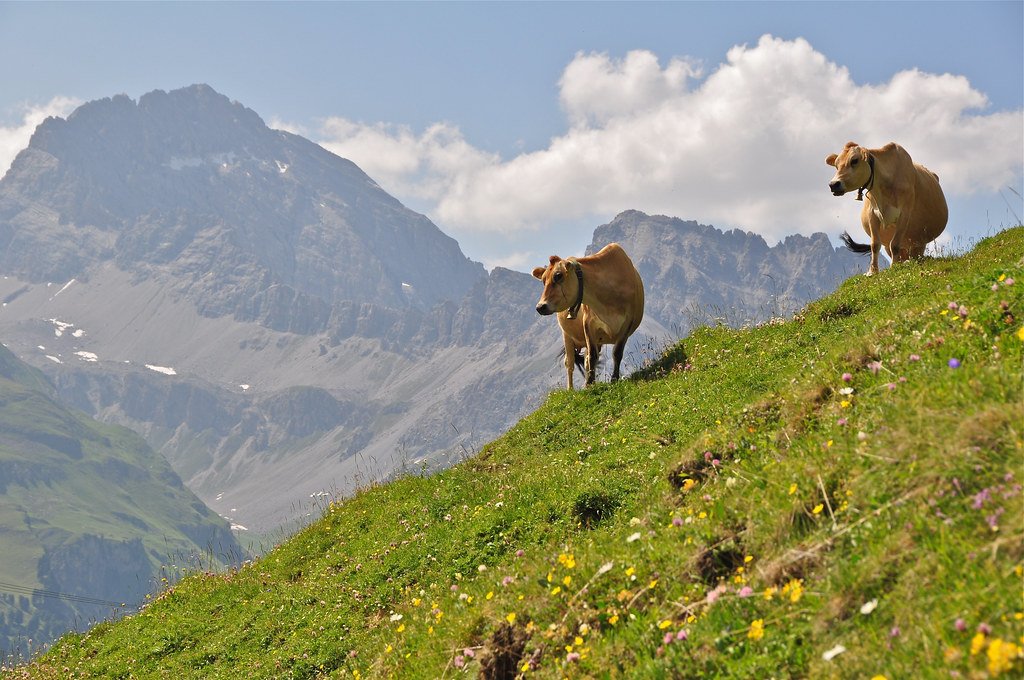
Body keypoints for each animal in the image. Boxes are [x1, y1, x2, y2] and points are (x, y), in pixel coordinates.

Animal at [532, 243, 644, 388]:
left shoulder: (627, 323)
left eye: (558, 275)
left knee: (584, 361)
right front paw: (590, 384)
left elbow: (617, 353)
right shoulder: (588, 324)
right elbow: (592, 356)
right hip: (566, 335)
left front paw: (613, 379)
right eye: (543, 280)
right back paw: (571, 389)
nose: (540, 307)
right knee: (569, 363)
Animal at [826, 141, 948, 276]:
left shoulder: (905, 213)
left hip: (919, 241)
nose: (833, 184)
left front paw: (894, 267)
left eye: (854, 160)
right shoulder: (872, 214)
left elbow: (894, 244)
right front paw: (872, 271)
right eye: (836, 165)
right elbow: (874, 244)